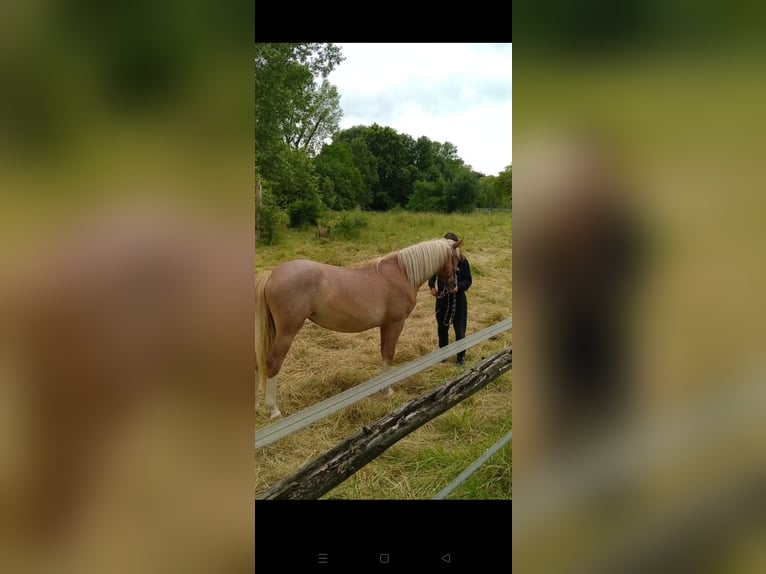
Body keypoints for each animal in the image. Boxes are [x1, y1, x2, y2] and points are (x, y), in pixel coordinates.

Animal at [256, 236, 462, 420]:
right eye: (456, 259)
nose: (454, 286)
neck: (402, 274)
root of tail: (271, 275)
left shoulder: (385, 325)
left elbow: (384, 353)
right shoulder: (395, 323)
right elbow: (389, 354)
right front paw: (387, 390)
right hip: (287, 332)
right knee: (273, 363)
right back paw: (273, 410)